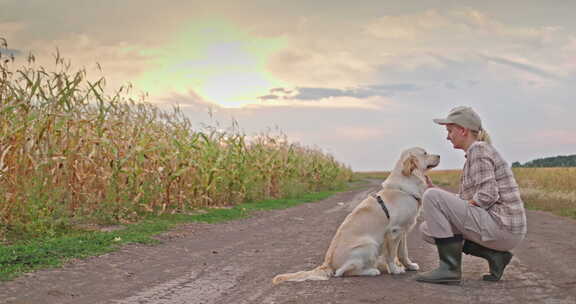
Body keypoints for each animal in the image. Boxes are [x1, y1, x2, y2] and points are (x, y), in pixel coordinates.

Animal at [272, 148, 438, 284]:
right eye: (425, 153)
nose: (439, 155)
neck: (406, 185)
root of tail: (327, 264)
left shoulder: (403, 230)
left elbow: (403, 253)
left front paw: (409, 265)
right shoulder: (394, 232)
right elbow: (392, 255)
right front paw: (395, 269)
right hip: (369, 244)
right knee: (343, 272)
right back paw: (371, 270)